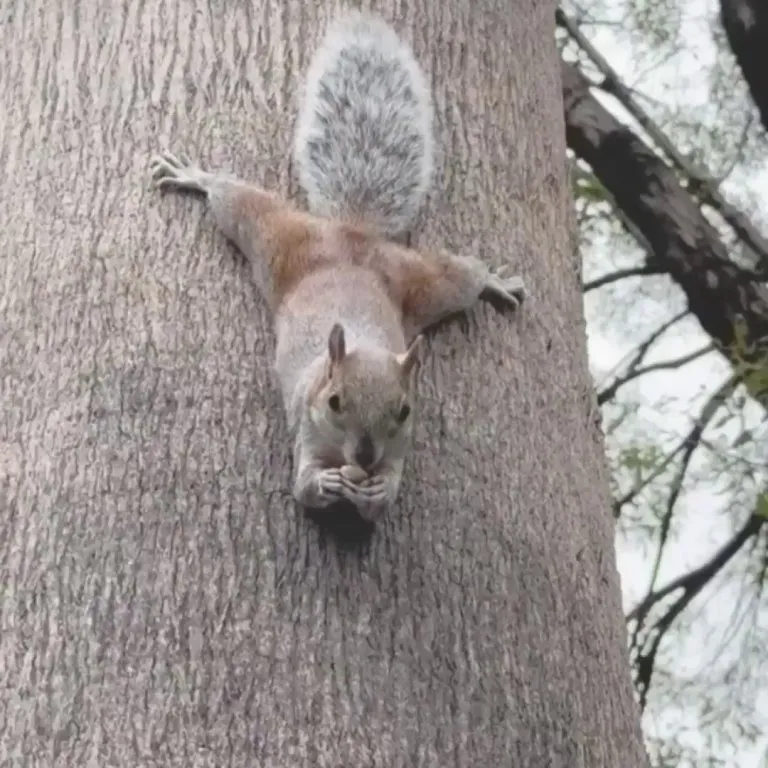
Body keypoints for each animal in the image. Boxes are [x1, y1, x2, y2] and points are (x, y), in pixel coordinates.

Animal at [149, 11, 526, 522]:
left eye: (404, 411)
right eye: (333, 401)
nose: (364, 457)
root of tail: (353, 237)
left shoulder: (402, 446)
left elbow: (384, 496)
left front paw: (376, 492)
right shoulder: (306, 425)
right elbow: (303, 488)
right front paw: (324, 483)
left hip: (426, 282)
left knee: (464, 276)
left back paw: (495, 281)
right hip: (274, 232)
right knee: (237, 198)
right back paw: (196, 176)